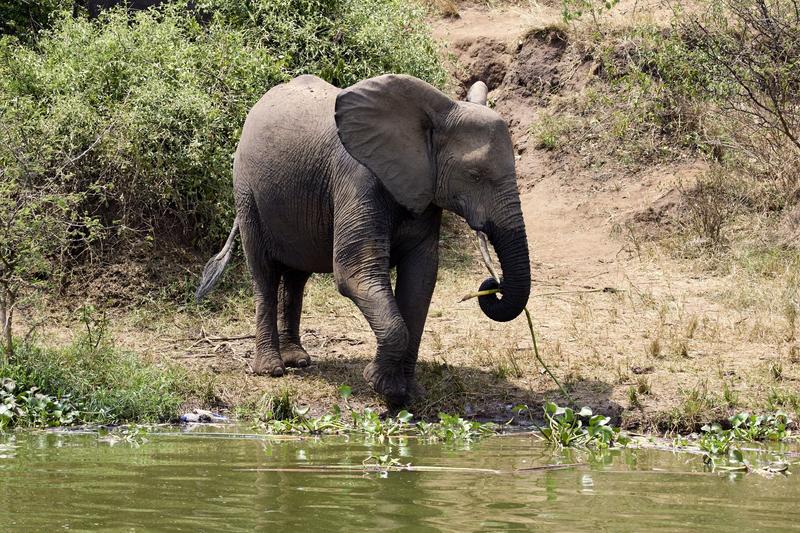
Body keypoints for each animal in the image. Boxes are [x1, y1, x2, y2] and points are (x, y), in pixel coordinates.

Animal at [195, 75, 532, 406]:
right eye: (474, 175)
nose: (492, 285)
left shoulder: (423, 188)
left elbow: (421, 278)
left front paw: (407, 391)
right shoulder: (358, 178)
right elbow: (355, 272)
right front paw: (381, 385)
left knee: (296, 276)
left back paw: (298, 359)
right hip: (246, 192)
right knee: (264, 274)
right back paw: (272, 369)